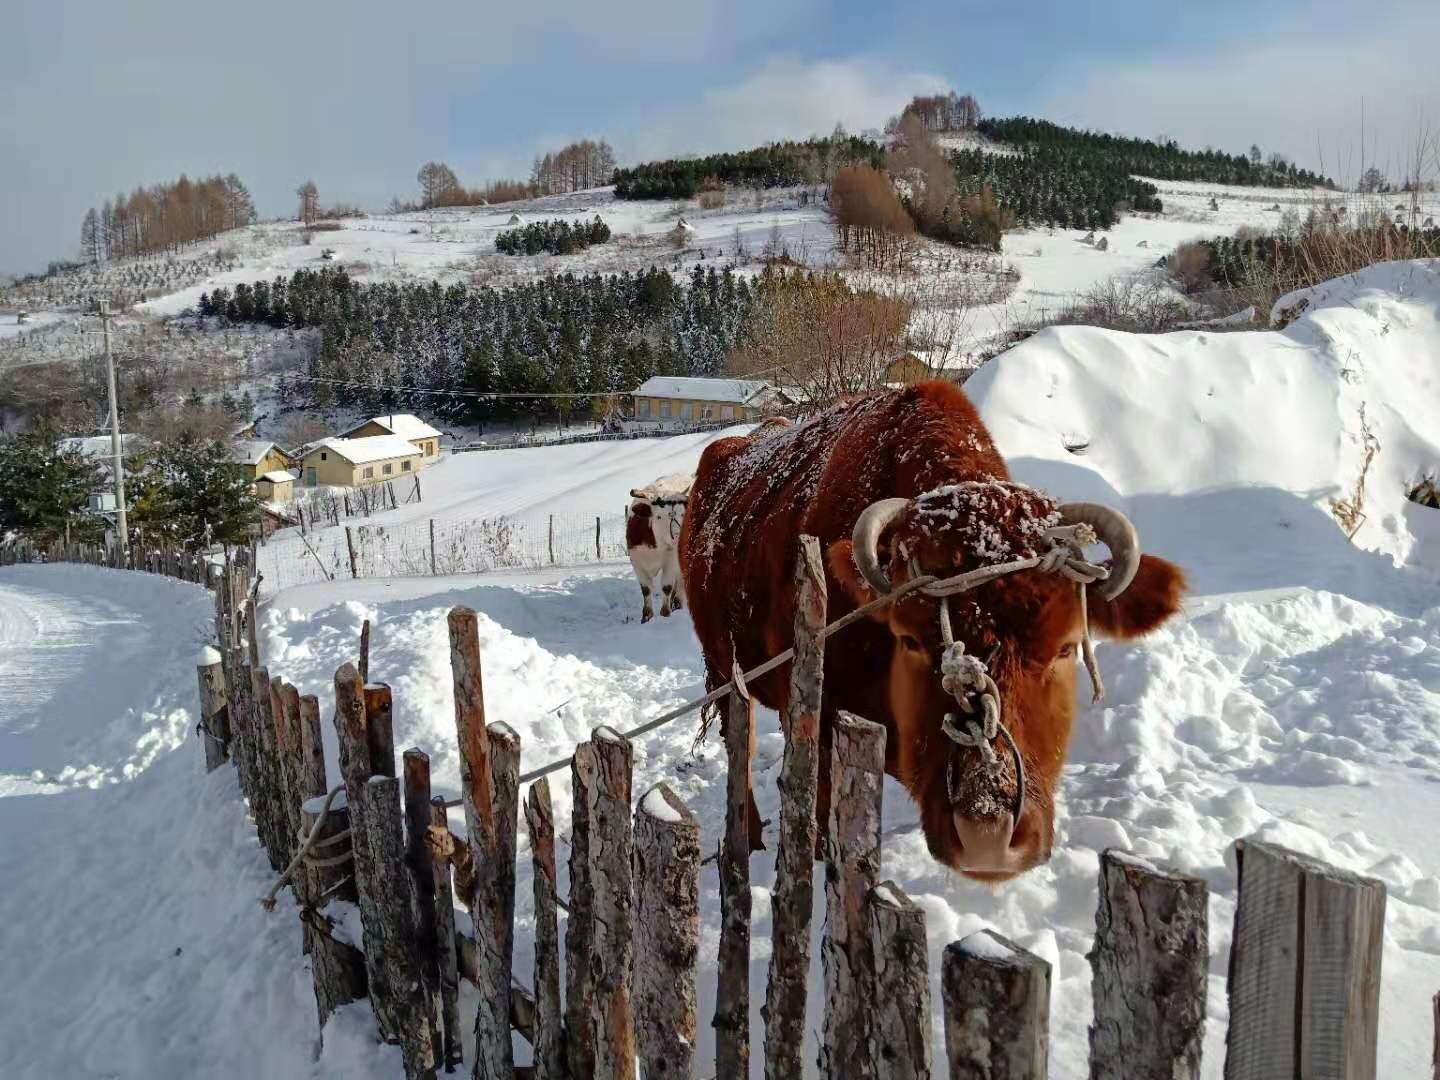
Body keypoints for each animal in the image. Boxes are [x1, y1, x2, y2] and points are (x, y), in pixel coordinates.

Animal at [624, 475, 691, 624]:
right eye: (659, 517)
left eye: (683, 514)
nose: (678, 536)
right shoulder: (636, 561)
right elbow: (646, 589)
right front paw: (646, 617)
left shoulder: (671, 560)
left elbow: (666, 587)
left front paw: (665, 614)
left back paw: (677, 603)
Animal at [673, 385, 1180, 881]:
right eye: (911, 639)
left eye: (1066, 647)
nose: (987, 836)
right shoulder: (822, 724)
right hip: (724, 670)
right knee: (741, 744)